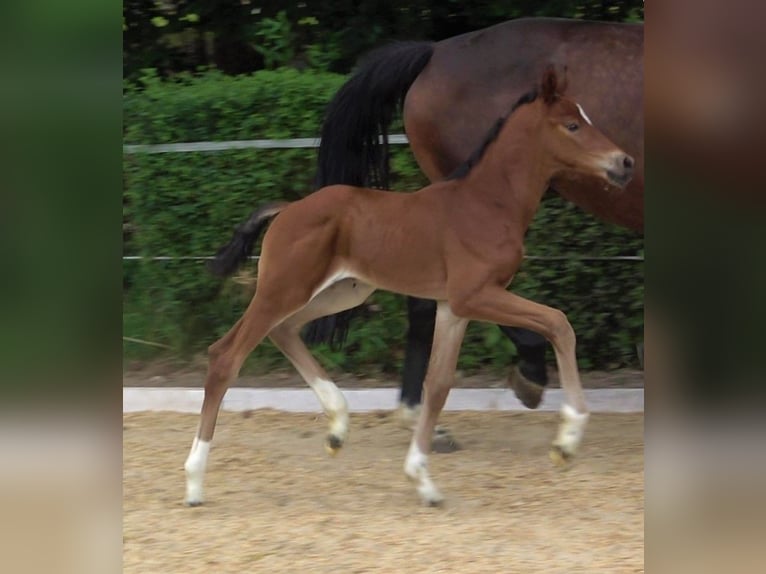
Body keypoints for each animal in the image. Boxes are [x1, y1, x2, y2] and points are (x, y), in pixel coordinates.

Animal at [183, 68, 632, 508]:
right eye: (572, 125)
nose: (624, 162)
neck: (487, 203)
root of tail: (288, 209)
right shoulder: (475, 295)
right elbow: (559, 323)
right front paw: (567, 442)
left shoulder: (453, 307)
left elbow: (438, 385)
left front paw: (423, 480)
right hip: (285, 289)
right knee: (226, 355)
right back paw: (194, 483)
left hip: (342, 291)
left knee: (284, 331)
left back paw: (338, 426)